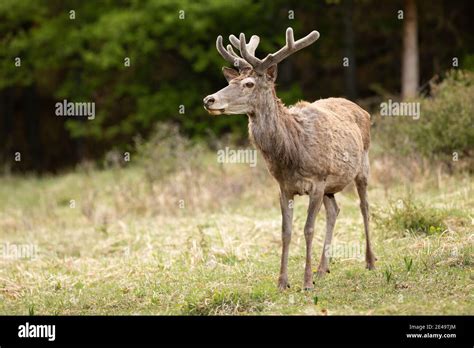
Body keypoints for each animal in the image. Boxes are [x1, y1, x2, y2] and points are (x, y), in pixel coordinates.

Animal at [202, 27, 376, 290]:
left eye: (249, 83)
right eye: (229, 82)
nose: (209, 100)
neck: (292, 152)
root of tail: (361, 109)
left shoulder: (317, 181)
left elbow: (308, 229)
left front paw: (306, 282)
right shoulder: (284, 187)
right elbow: (286, 231)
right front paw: (283, 282)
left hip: (362, 164)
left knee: (364, 207)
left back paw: (370, 261)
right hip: (331, 186)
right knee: (335, 210)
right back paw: (322, 269)